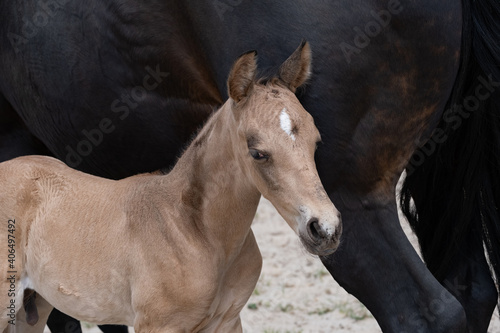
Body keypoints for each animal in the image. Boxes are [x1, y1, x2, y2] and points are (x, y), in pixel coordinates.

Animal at [0, 42, 340, 332]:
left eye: (316, 140)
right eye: (257, 152)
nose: (325, 228)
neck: (195, 231)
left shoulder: (228, 321)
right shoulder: (157, 325)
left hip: (33, 307)